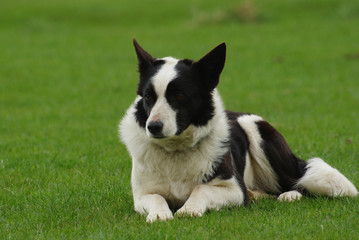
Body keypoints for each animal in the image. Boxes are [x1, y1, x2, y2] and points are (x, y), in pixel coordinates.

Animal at [119, 39, 358, 223]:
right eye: (148, 97)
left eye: (178, 96)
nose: (153, 127)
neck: (176, 150)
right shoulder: (142, 195)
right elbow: (157, 197)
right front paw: (160, 214)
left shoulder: (234, 190)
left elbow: (201, 189)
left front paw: (189, 209)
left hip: (257, 131)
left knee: (295, 182)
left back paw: (289, 195)